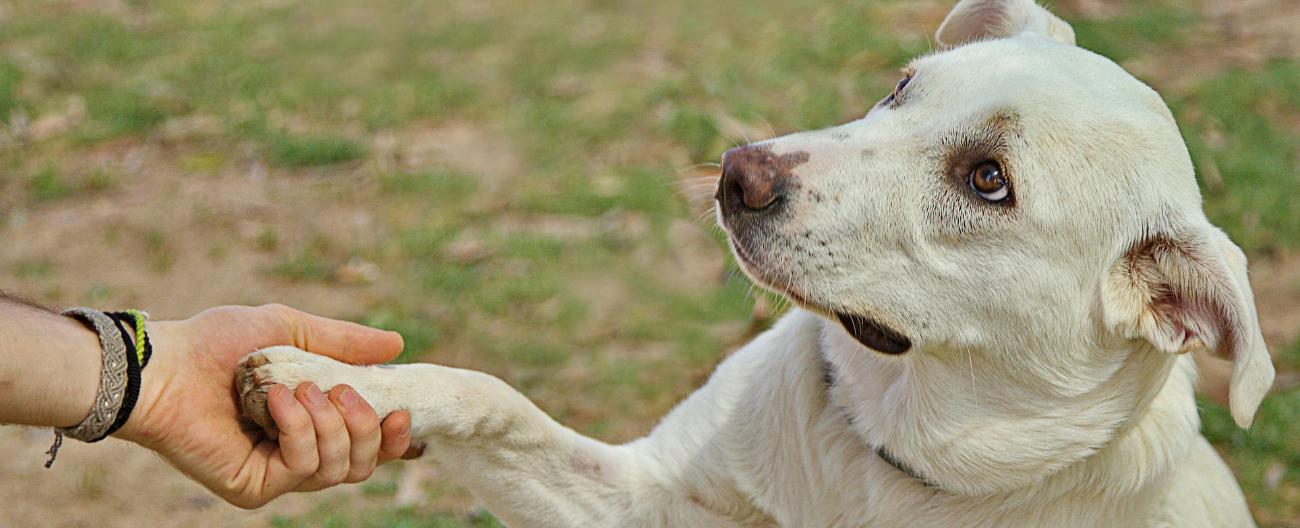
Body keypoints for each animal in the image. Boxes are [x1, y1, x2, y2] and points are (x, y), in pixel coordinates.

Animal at [239, 0, 1274, 525]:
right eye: (901, 87)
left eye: (988, 181)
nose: (739, 172)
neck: (887, 454)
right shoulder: (637, 500)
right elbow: (490, 396)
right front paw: (329, 381)